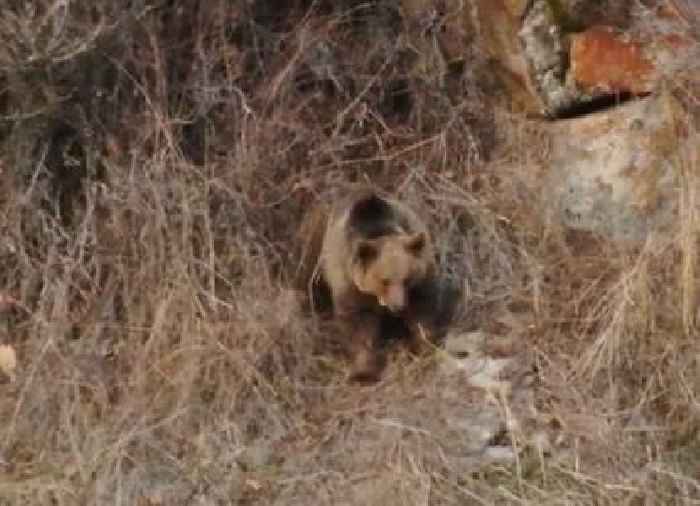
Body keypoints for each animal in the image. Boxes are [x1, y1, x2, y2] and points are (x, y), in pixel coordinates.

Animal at [296, 188, 460, 382]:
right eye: (384, 280)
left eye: (407, 278)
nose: (398, 306)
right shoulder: (350, 283)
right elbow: (358, 325)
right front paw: (364, 372)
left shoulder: (420, 278)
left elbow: (423, 311)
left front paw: (424, 346)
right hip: (314, 249)